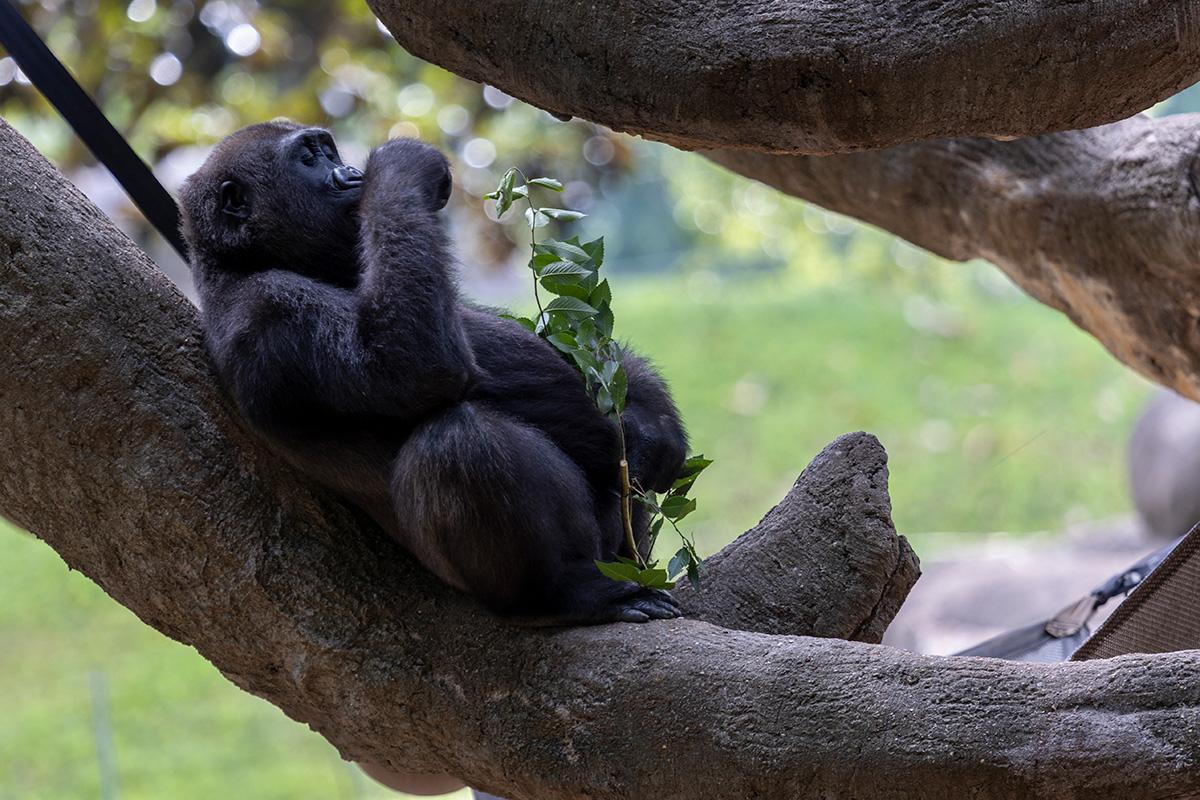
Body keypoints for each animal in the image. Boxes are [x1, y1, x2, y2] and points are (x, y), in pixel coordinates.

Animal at [176, 123, 686, 623]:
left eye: (328, 152)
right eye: (308, 159)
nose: (350, 173)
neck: (241, 260)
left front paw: (653, 428)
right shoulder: (268, 310)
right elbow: (409, 366)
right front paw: (402, 163)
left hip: (625, 552)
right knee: (458, 441)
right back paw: (557, 591)